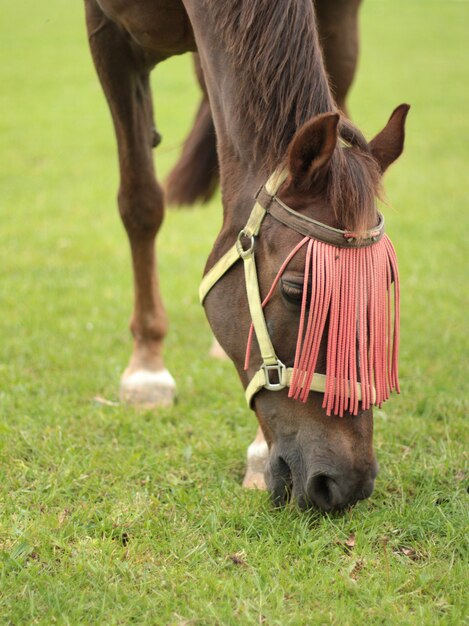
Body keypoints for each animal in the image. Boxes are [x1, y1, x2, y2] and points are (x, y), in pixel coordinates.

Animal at [84, 0, 406, 508]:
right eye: (295, 290)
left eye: (383, 288)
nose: (346, 483)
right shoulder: (108, 33)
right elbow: (140, 202)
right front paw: (146, 369)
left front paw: (257, 452)